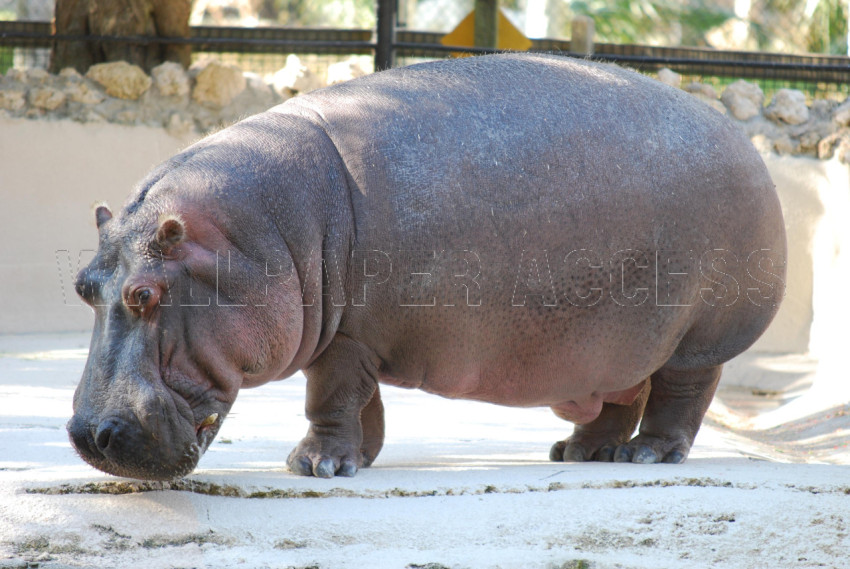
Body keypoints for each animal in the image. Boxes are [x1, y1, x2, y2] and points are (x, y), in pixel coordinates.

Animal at [68, 53, 786, 480]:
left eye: (144, 294)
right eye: (83, 287)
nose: (88, 435)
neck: (256, 234)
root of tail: (745, 144)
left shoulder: (348, 337)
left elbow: (331, 397)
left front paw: (312, 466)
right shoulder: (355, 334)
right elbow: (363, 404)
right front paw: (355, 460)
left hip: (697, 336)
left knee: (681, 396)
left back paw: (645, 455)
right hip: (617, 342)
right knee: (620, 395)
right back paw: (581, 452)